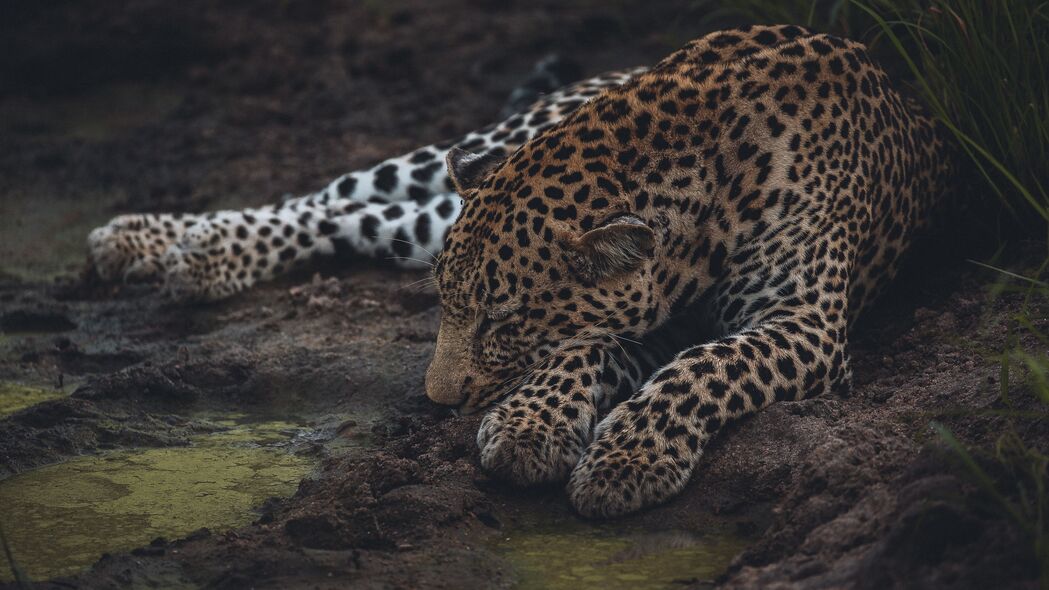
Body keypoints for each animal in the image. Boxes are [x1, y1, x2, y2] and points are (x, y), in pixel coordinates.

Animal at [92, 26, 952, 514]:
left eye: (503, 321)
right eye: (446, 309)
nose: (437, 402)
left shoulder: (801, 323)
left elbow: (703, 366)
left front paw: (627, 456)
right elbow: (584, 348)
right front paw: (533, 426)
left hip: (439, 207)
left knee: (354, 222)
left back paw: (183, 254)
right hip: (486, 144)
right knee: (332, 195)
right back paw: (156, 242)